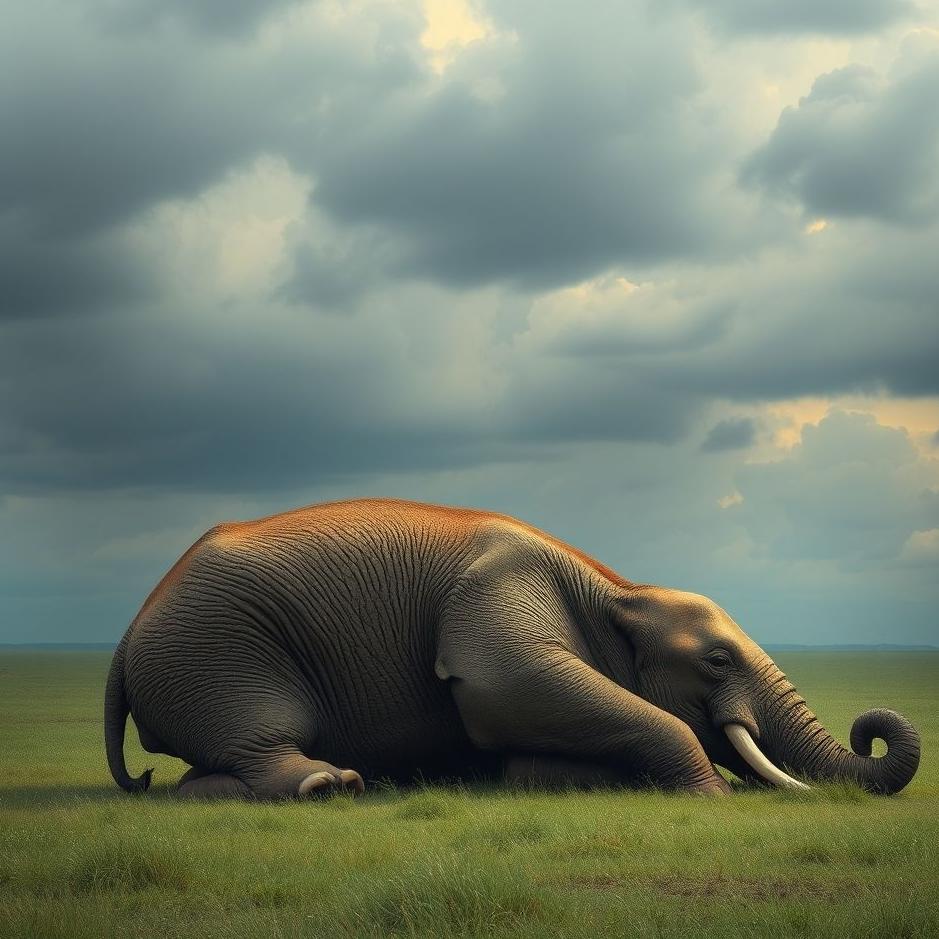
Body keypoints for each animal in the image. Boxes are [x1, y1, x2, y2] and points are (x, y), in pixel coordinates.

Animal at [105, 498, 920, 799]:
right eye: (716, 662)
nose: (869, 729)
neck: (616, 587)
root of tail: (122, 639)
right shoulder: (495, 601)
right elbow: (505, 689)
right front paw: (707, 795)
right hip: (216, 651)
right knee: (269, 731)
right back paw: (328, 785)